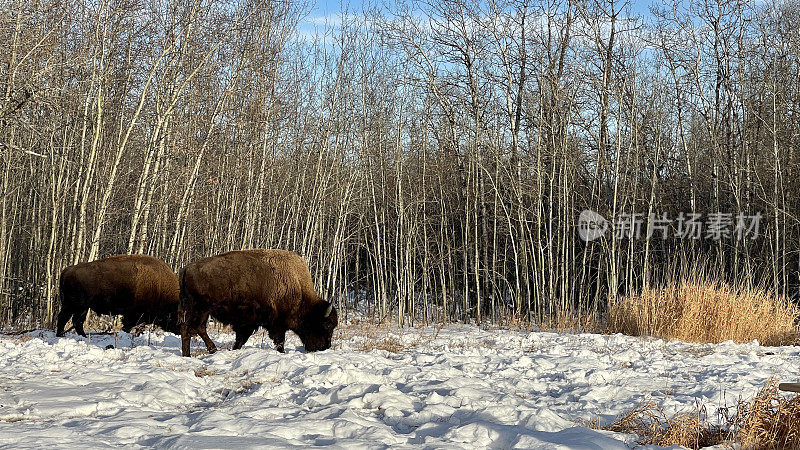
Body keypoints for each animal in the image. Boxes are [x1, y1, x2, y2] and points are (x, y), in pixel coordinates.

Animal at [180, 248, 340, 356]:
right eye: (326, 324)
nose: (326, 346)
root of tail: (186, 268)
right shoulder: (277, 324)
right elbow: (279, 341)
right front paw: (282, 352)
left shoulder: (248, 323)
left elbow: (241, 339)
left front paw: (235, 349)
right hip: (200, 309)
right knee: (190, 328)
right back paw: (196, 353)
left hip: (202, 310)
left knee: (196, 328)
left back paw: (204, 351)